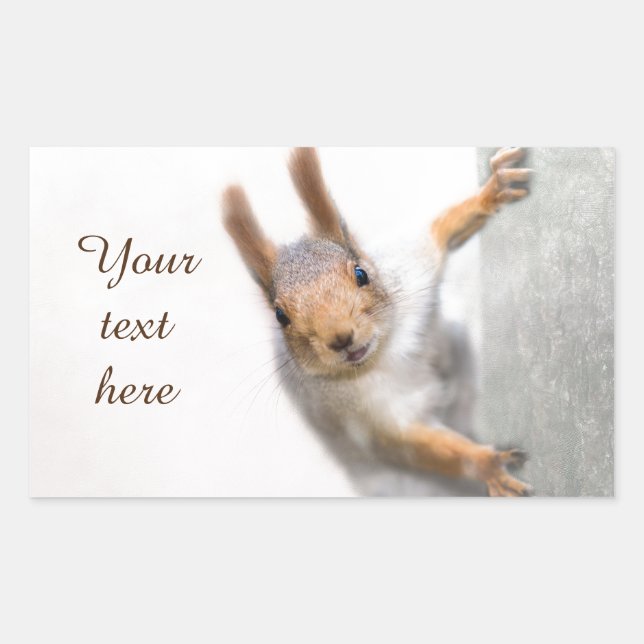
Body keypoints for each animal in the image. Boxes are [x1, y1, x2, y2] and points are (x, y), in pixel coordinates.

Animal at [222, 148, 532, 496]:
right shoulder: (366, 417)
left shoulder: (411, 265)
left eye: (361, 274)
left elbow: (442, 229)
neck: (385, 351)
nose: (341, 338)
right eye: (280, 316)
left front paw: (492, 190)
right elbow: (414, 447)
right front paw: (487, 465)